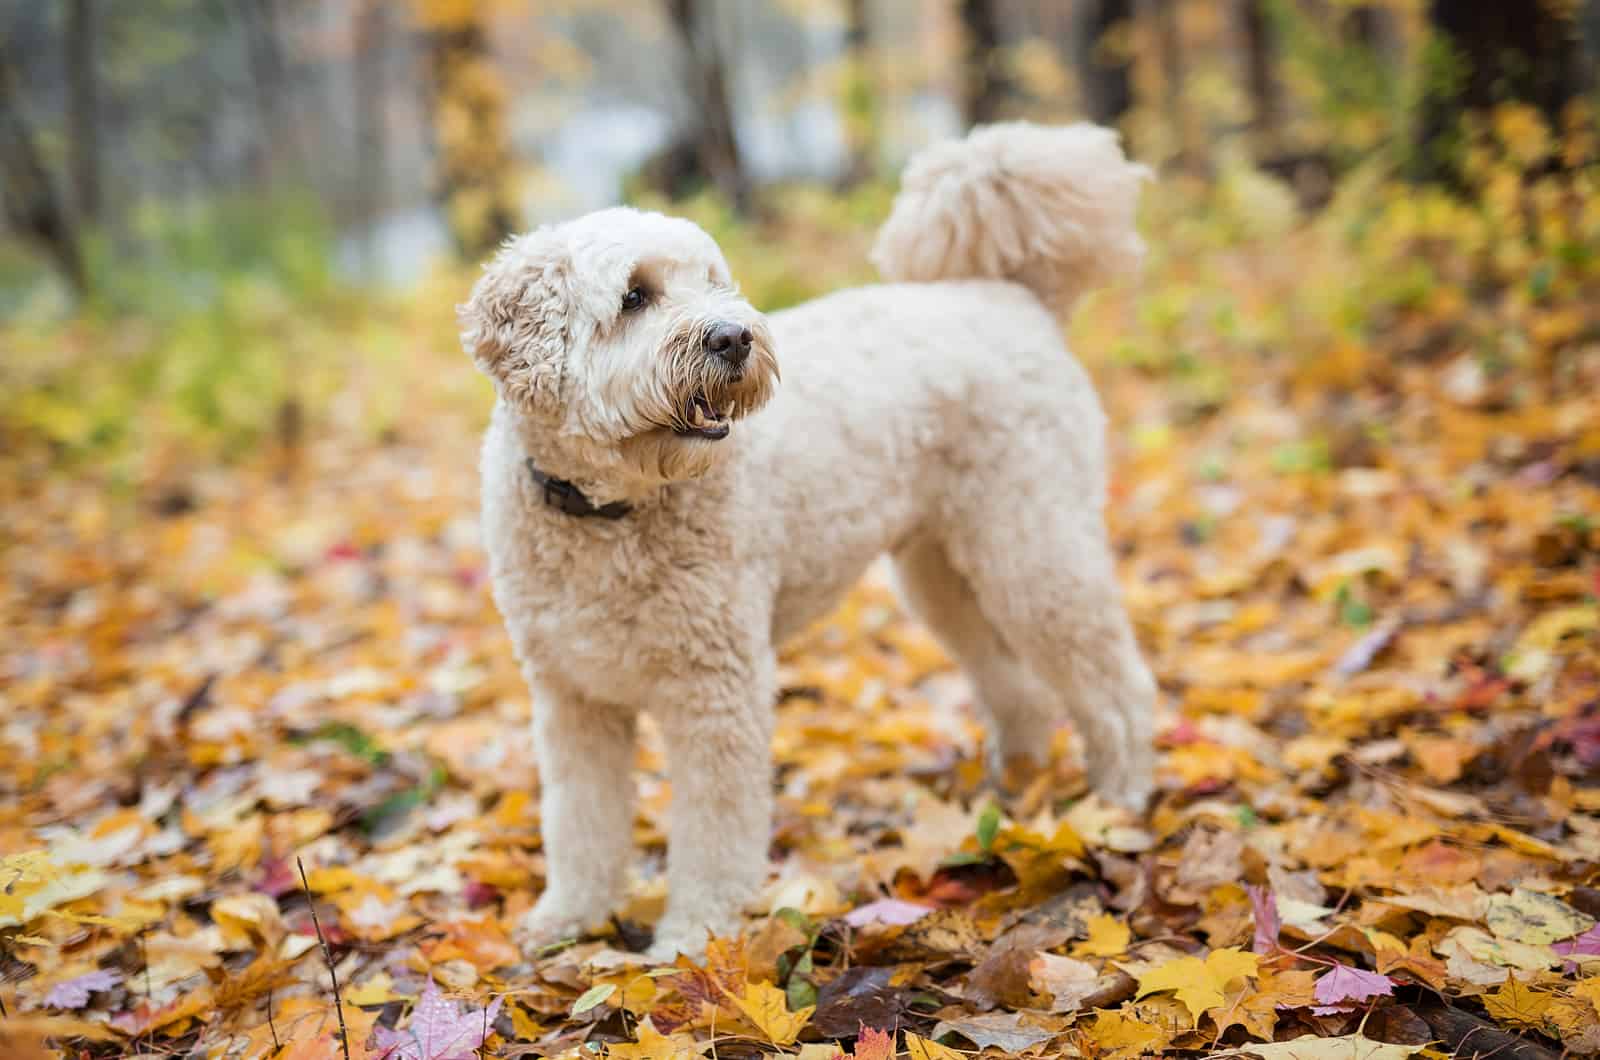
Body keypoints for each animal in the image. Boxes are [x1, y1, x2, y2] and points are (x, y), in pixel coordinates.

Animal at [460, 120, 1152, 960]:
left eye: (715, 282)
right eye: (634, 296)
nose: (733, 336)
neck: (607, 513)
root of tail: (1012, 296)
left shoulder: (717, 688)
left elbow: (715, 832)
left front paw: (694, 939)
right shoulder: (572, 698)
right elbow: (580, 822)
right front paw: (568, 920)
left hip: (1032, 547)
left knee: (1114, 684)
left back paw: (1120, 802)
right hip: (943, 573)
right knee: (1017, 687)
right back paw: (1013, 789)